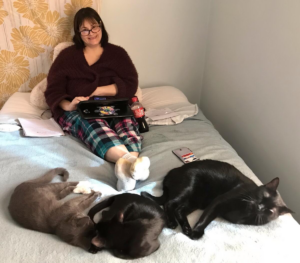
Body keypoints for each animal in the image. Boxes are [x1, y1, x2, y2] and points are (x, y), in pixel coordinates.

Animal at [142, 160, 294, 240]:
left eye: (270, 211)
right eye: (264, 196)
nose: (260, 207)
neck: (244, 211)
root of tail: (171, 173)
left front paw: (192, 231)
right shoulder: (219, 202)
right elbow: (206, 219)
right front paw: (197, 232)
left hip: (195, 201)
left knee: (178, 209)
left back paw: (186, 227)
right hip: (188, 188)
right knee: (169, 203)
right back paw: (172, 222)